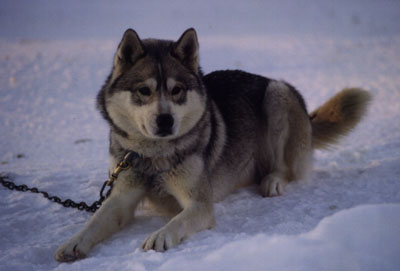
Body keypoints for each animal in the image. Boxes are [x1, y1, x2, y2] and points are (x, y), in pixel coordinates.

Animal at [54, 28, 370, 262]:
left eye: (176, 90)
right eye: (144, 90)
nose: (165, 120)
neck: (153, 155)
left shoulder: (199, 204)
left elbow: (178, 221)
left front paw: (160, 235)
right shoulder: (122, 195)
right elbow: (95, 221)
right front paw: (73, 243)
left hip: (277, 95)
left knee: (284, 167)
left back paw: (273, 181)